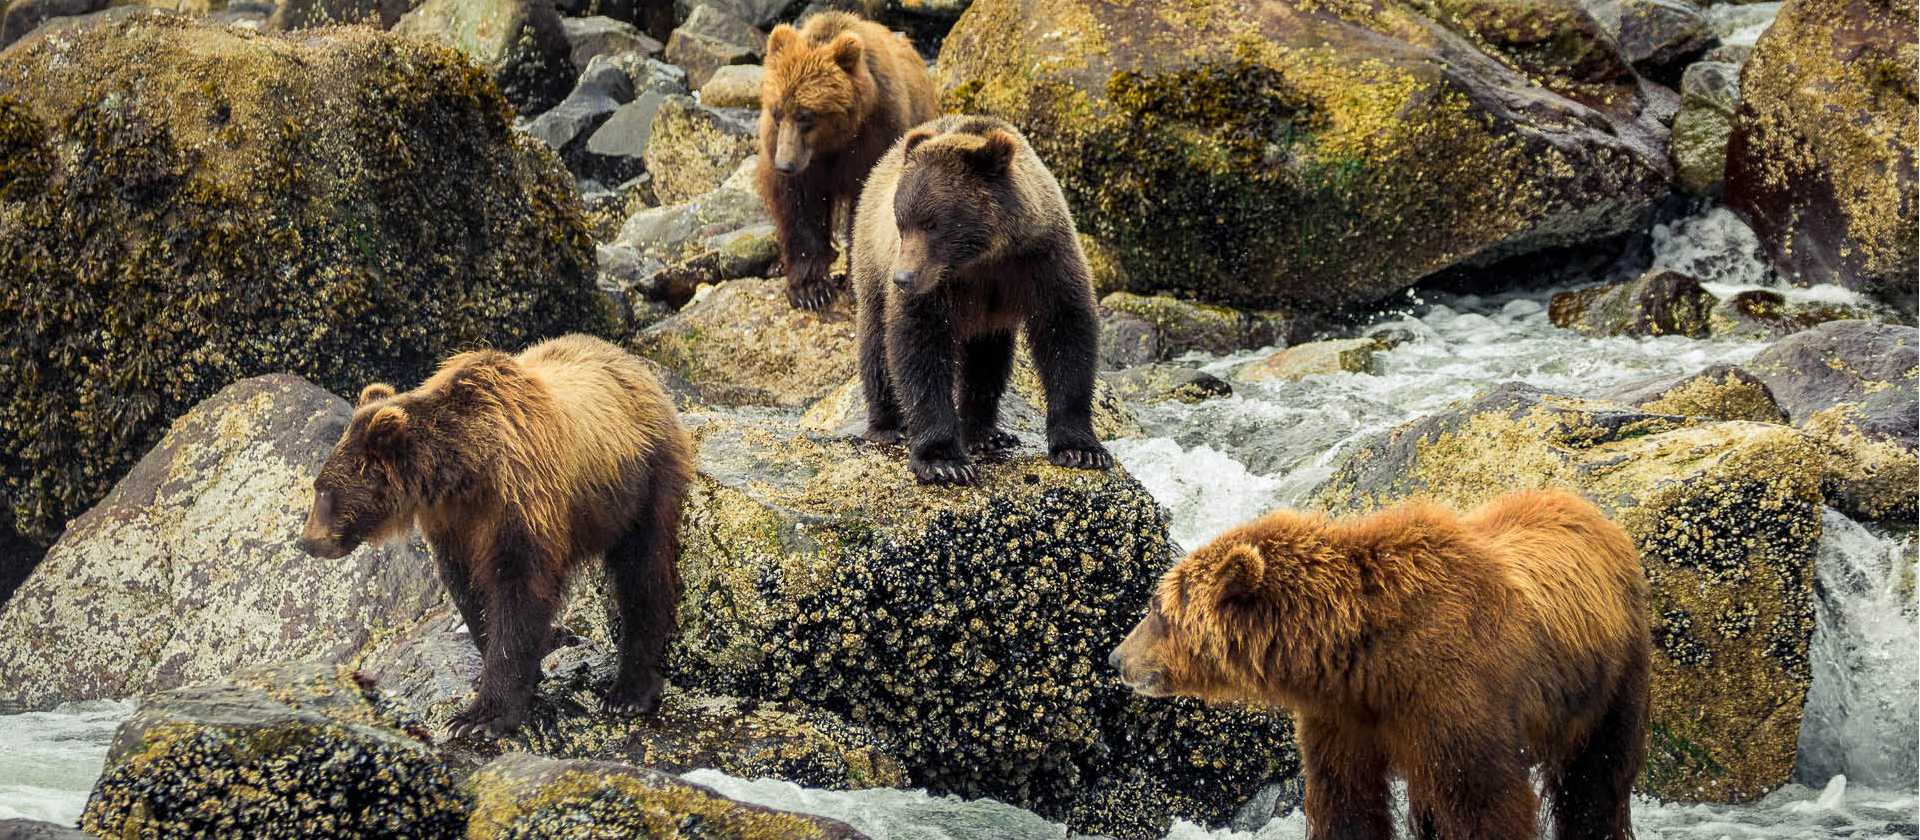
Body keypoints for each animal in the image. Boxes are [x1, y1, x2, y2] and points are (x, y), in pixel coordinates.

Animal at [297, 334, 694, 738]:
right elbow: (471, 593)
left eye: (323, 490)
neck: (468, 470)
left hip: (644, 483)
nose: (306, 541)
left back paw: (628, 692)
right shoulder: (455, 524)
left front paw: (480, 716)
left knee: (643, 574)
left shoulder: (521, 504)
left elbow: (517, 594)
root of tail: (633, 363)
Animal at [757, 10, 939, 311]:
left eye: (806, 115)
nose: (784, 165)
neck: (833, 141)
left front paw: (856, 284)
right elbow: (798, 208)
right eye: (777, 111)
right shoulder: (794, 157)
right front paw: (810, 289)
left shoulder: (876, 138)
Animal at [850, 115, 1112, 484]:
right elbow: (918, 347)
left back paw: (985, 433)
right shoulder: (937, 287)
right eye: (903, 223)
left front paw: (1081, 449)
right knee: (876, 342)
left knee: (988, 361)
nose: (903, 278)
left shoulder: (1042, 258)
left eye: (932, 224)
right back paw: (888, 426)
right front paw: (943, 461)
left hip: (988, 319)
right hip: (871, 262)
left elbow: (1066, 332)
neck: (982, 257)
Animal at [1108, 489, 1651, 840]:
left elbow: (1485, 802)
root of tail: (1592, 511)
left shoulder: (1457, 692)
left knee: (1596, 779)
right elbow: (1345, 799)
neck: (1369, 656)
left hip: (1612, 675)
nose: (1116, 658)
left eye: (1157, 608)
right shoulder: (1346, 714)